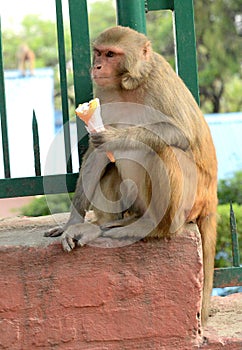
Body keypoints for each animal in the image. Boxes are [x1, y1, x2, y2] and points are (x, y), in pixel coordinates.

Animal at [45, 26, 217, 324]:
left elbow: (181, 133)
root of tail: (211, 198)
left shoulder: (158, 82)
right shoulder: (103, 93)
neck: (129, 83)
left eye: (111, 55)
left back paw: (150, 227)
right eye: (98, 52)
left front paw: (115, 135)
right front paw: (72, 223)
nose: (96, 66)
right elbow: (98, 152)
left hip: (191, 200)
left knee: (162, 149)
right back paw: (109, 224)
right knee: (117, 163)